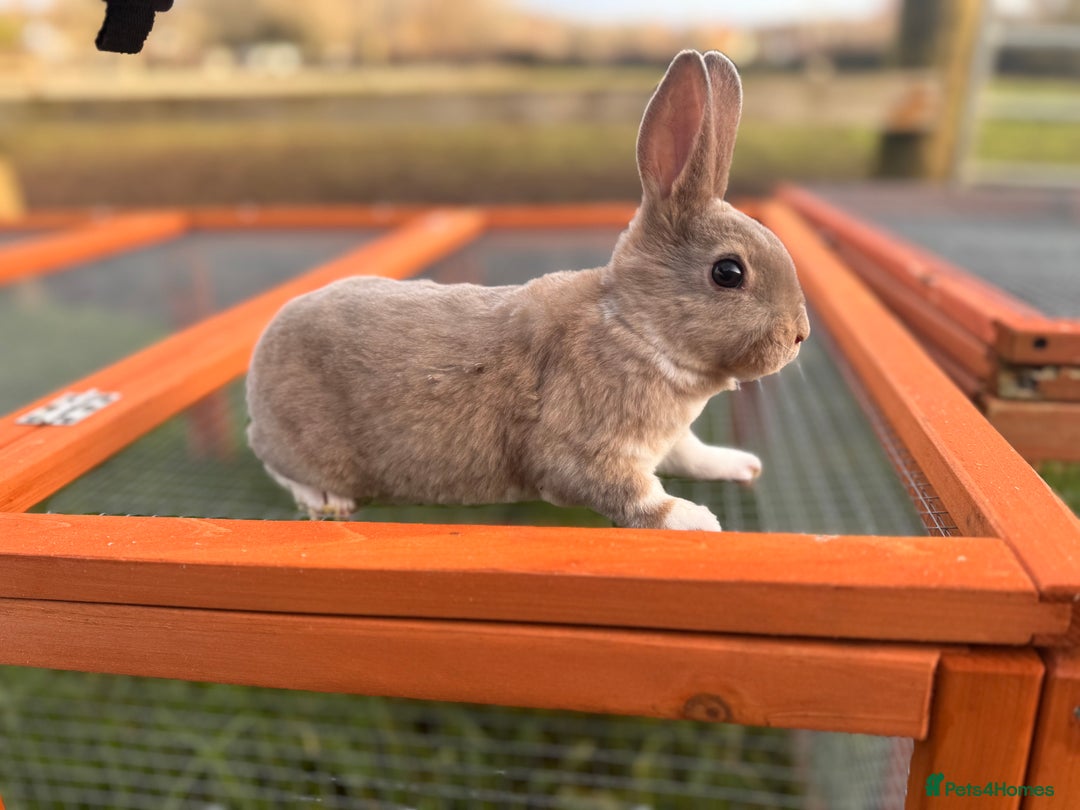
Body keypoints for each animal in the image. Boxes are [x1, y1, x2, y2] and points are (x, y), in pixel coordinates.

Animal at [246, 49, 809, 531]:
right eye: (728, 273)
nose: (799, 335)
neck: (634, 328)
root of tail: (262, 357)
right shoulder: (585, 450)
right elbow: (636, 497)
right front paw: (697, 519)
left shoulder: (667, 441)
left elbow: (691, 453)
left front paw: (740, 465)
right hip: (300, 443)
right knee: (280, 466)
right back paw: (327, 499)